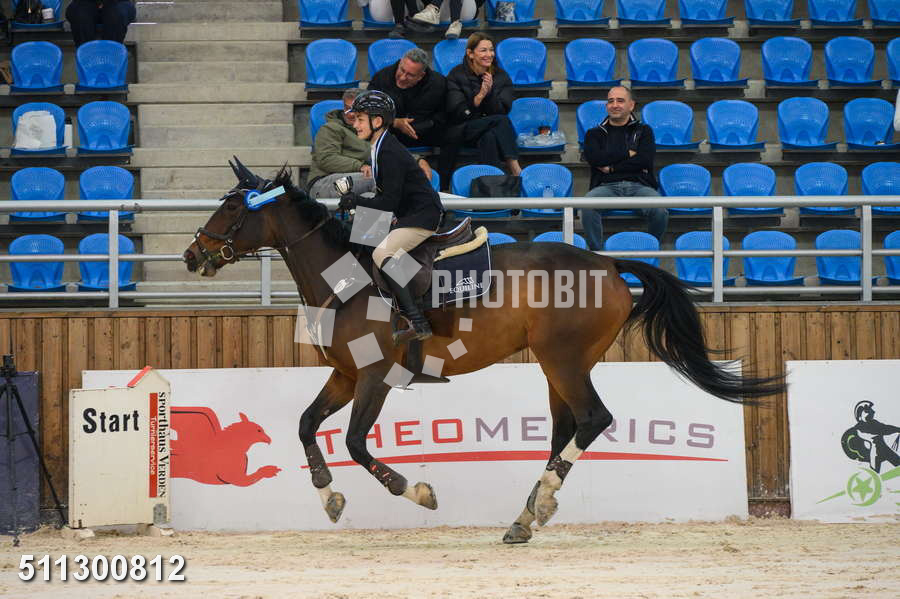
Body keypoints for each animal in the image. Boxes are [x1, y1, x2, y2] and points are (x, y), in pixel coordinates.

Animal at [183, 159, 785, 543]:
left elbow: (355, 442)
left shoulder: (375, 377)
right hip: (560, 365)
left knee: (593, 419)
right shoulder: (346, 376)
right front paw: (328, 498)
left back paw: (540, 503)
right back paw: (526, 516)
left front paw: (416, 491)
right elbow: (308, 425)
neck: (345, 279)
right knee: (567, 429)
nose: (193, 256)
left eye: (232, 208)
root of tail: (608, 263)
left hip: (563, 360)